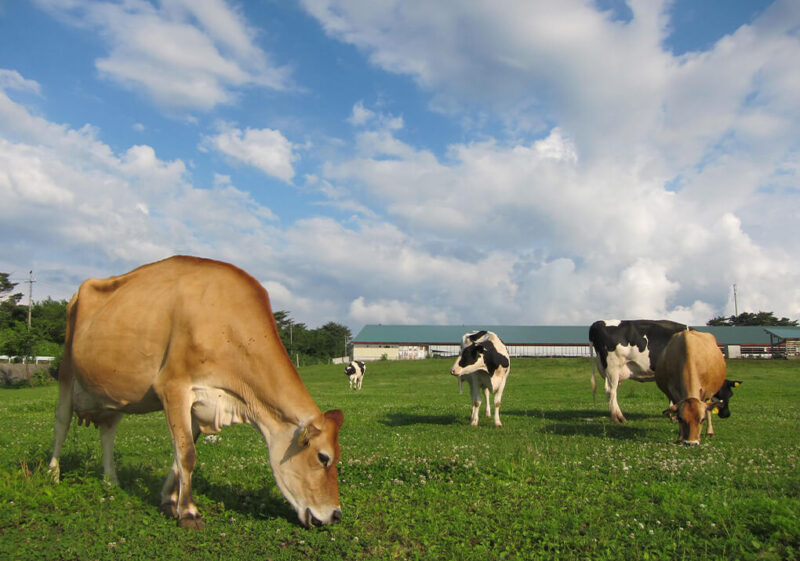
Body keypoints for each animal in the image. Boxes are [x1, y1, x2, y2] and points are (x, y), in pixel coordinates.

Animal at [49, 256, 344, 528]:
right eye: (323, 457)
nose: (336, 515)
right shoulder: (174, 387)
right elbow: (187, 454)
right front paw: (189, 512)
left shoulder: (202, 403)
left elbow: (179, 455)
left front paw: (169, 501)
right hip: (66, 371)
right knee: (61, 423)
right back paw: (53, 475)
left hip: (115, 394)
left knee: (108, 432)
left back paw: (111, 480)